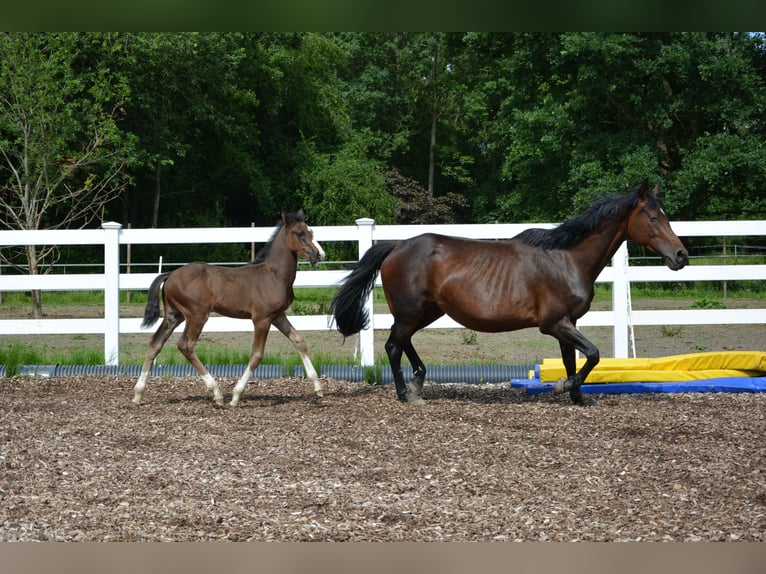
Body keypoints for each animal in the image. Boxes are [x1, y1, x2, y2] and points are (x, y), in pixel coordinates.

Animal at [132, 208, 326, 407]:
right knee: (186, 345)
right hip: (197, 315)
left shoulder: (278, 316)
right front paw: (236, 395)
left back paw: (138, 394)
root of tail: (170, 274)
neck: (273, 275)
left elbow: (299, 340)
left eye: (311, 232)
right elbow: (257, 355)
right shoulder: (261, 319)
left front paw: (318, 387)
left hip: (174, 315)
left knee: (155, 344)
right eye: (300, 233)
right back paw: (217, 393)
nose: (320, 255)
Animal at [330, 180, 688, 405]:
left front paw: (577, 396)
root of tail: (395, 247)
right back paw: (407, 394)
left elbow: (573, 359)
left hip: (428, 311)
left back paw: (419, 382)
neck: (567, 258)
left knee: (403, 342)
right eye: (653, 217)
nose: (681, 256)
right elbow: (593, 354)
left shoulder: (567, 324)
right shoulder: (555, 323)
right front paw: (563, 387)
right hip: (411, 311)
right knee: (393, 345)